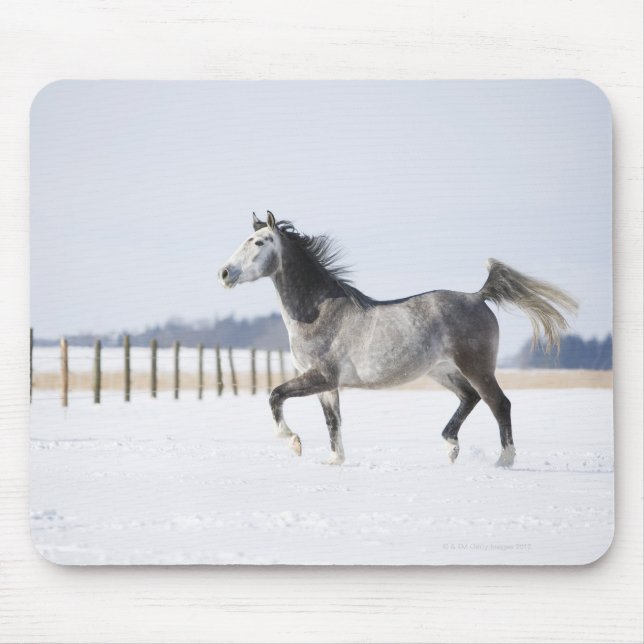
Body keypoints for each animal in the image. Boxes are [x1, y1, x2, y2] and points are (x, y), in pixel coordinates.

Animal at [218, 211, 577, 467]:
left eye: (259, 242)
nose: (224, 273)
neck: (319, 312)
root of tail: (478, 296)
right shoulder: (326, 384)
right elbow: (333, 421)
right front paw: (334, 460)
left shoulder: (321, 376)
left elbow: (275, 395)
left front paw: (293, 442)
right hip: (442, 370)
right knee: (470, 398)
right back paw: (451, 447)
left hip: (477, 367)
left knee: (499, 403)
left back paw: (503, 460)